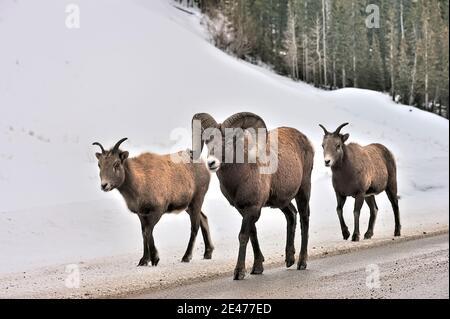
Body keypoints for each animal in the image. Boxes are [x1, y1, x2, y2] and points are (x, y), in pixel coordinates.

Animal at [192, 112, 314, 280]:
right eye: (207, 140)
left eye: (228, 141)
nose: (211, 163)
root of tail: (305, 139)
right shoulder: (243, 209)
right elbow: (253, 234)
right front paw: (257, 268)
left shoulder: (252, 208)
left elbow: (243, 235)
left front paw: (239, 272)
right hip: (282, 201)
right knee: (291, 215)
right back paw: (289, 259)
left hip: (303, 190)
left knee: (304, 218)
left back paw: (302, 263)